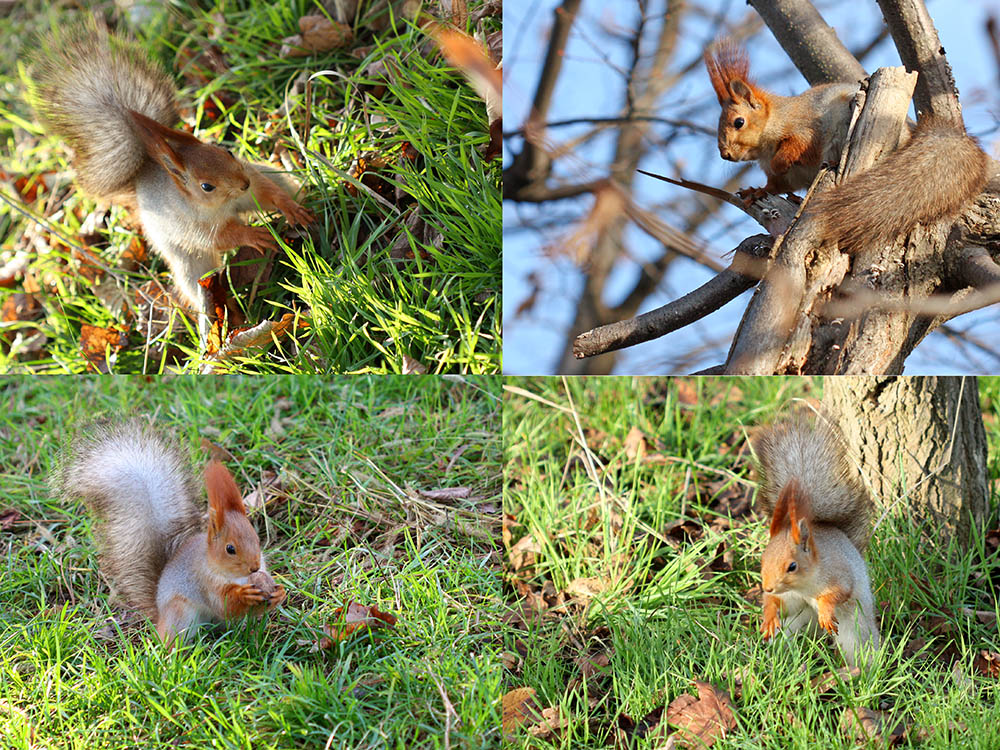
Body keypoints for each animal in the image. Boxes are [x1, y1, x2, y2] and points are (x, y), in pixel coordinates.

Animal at [29, 25, 314, 344]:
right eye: (206, 186)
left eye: (225, 151)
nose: (242, 183)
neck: (222, 205)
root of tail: (143, 175)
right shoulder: (193, 227)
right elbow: (223, 237)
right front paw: (253, 235)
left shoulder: (251, 184)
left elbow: (268, 193)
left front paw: (289, 208)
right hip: (186, 259)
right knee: (196, 284)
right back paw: (213, 322)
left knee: (283, 183)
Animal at [54, 420, 284, 648]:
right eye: (230, 549)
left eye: (256, 538)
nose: (254, 567)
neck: (237, 577)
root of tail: (159, 616)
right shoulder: (204, 582)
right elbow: (226, 604)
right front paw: (246, 594)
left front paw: (278, 592)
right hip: (180, 613)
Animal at [704, 41, 992, 251]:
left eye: (739, 122)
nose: (725, 154)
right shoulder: (786, 177)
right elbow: (776, 185)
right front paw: (756, 191)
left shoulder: (806, 128)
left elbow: (798, 146)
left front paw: (780, 160)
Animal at [752, 418, 880, 668]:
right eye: (763, 559)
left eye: (792, 566)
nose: (767, 587)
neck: (803, 586)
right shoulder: (790, 598)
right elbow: (779, 605)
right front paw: (769, 615)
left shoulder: (838, 574)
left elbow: (838, 593)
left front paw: (825, 610)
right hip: (796, 624)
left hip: (857, 628)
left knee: (861, 645)